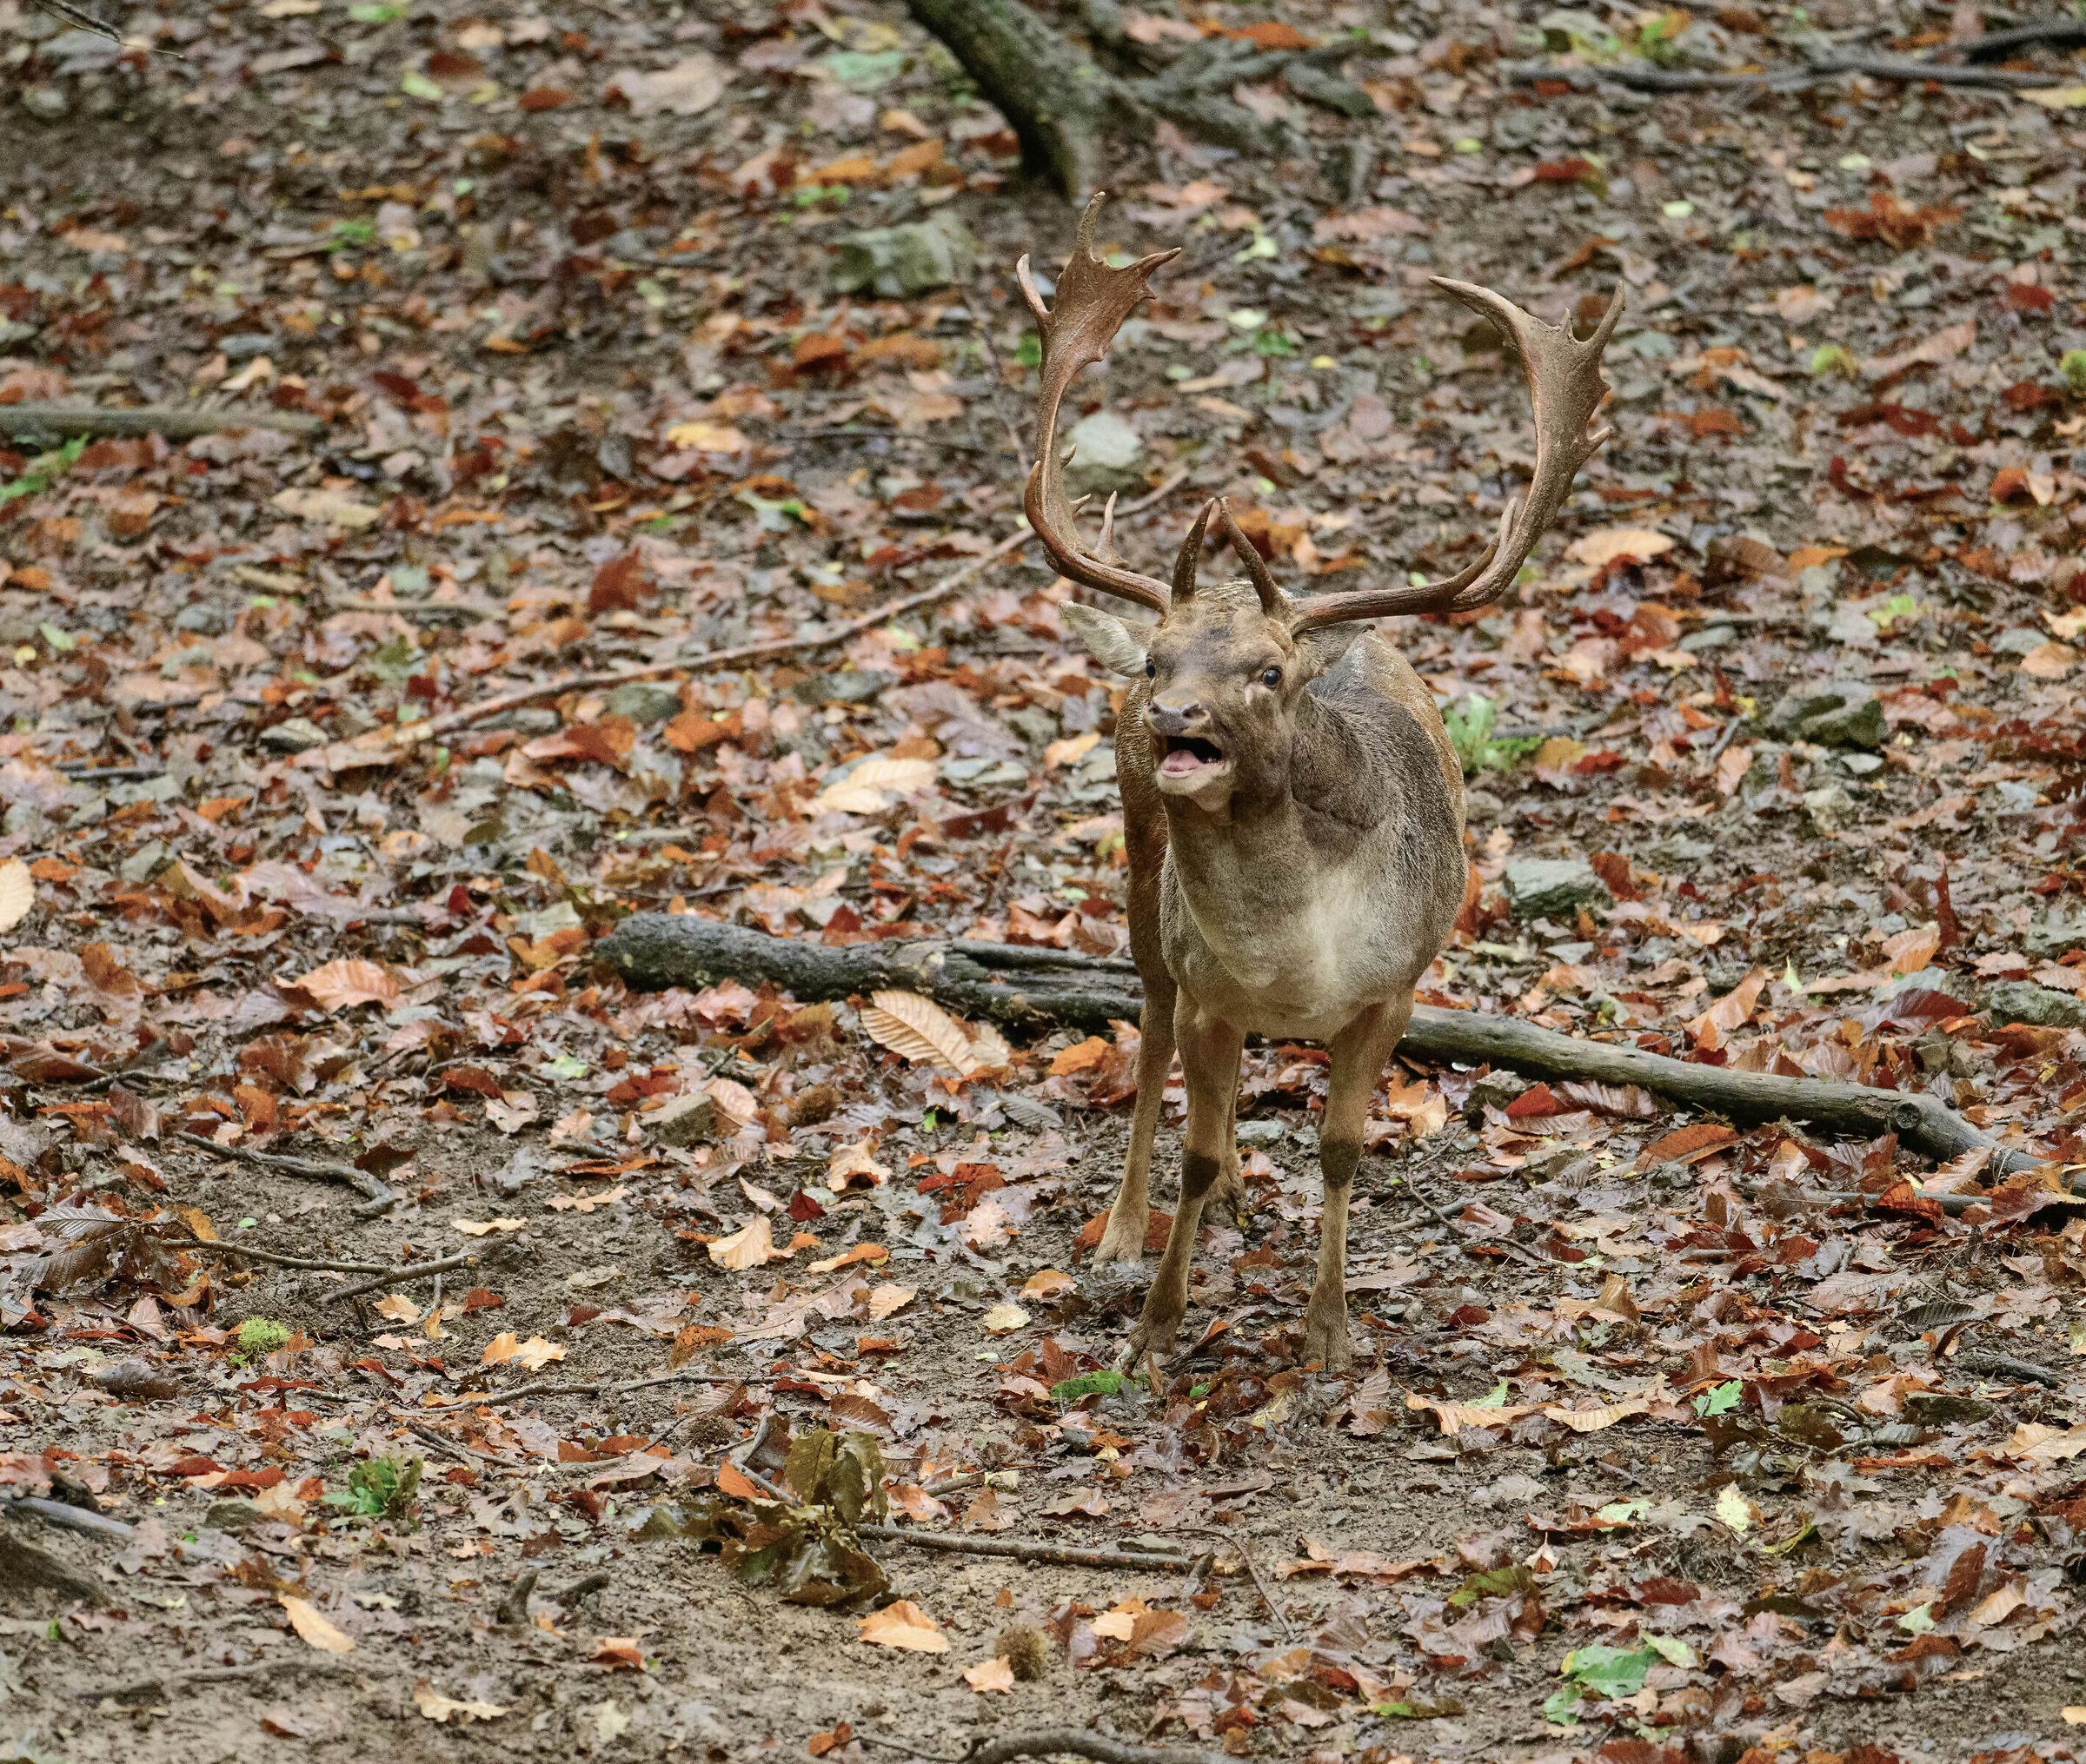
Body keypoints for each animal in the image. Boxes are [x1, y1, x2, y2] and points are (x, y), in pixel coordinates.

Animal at [1018, 195, 1620, 1372]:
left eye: (1268, 672)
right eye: (1157, 658)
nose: (1173, 717)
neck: (1289, 960)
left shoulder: (1397, 985)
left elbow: (1341, 1150)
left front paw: (1330, 1338)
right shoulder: (1208, 981)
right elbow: (1194, 1144)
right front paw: (1153, 1326)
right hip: (1142, 885)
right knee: (1149, 1030)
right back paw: (1122, 1229)